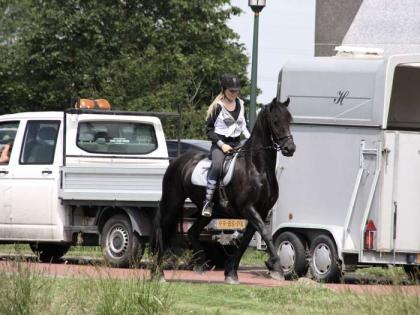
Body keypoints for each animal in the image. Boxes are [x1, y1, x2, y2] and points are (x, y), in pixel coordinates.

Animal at [152, 97, 296, 284]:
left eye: (290, 120)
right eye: (276, 121)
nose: (290, 148)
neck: (258, 168)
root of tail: (177, 161)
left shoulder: (261, 211)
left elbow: (246, 240)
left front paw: (231, 272)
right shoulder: (248, 208)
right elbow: (265, 234)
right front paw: (276, 268)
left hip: (208, 212)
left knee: (192, 231)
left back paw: (200, 263)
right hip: (172, 202)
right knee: (162, 228)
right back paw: (158, 273)